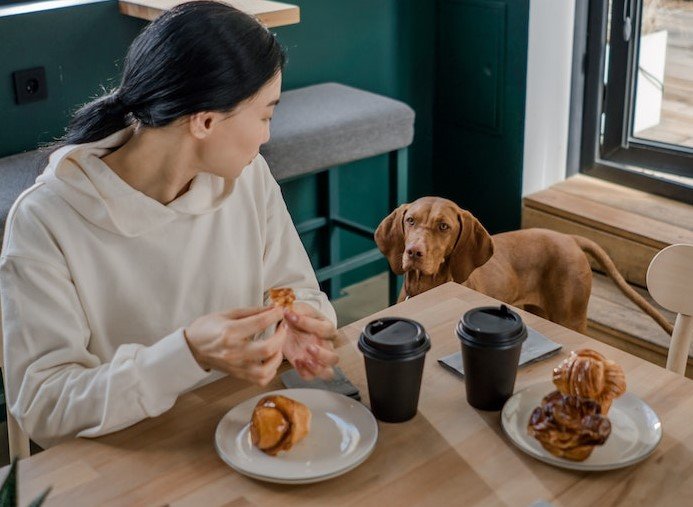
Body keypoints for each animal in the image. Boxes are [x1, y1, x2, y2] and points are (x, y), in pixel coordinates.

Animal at [376, 196, 672, 336]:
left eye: (443, 226)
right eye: (410, 220)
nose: (413, 252)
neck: (427, 287)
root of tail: (570, 238)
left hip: (571, 318)